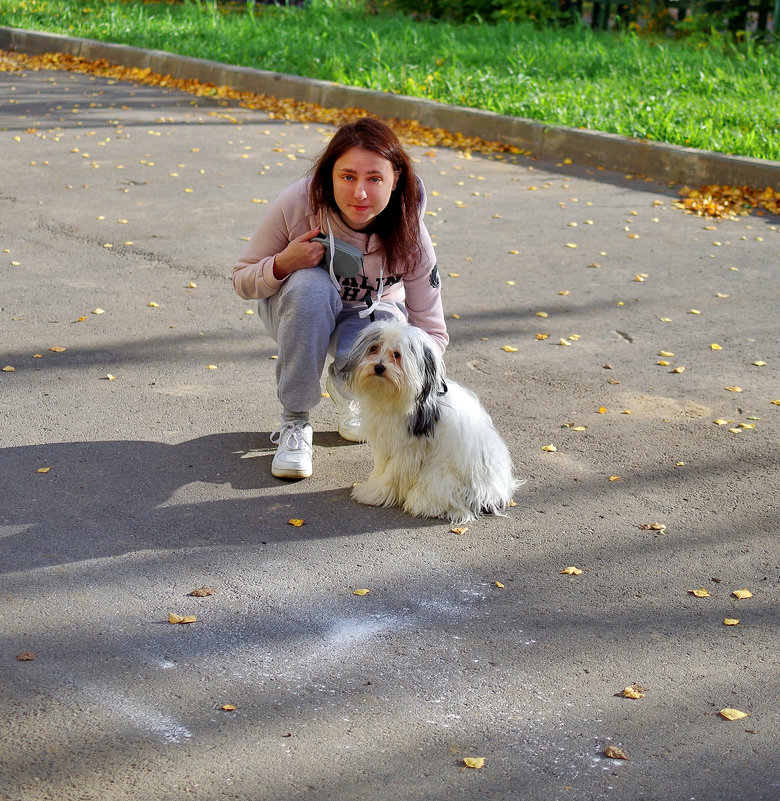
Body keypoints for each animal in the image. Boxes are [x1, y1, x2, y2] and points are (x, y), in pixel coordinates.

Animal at [338, 320, 520, 524]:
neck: (394, 396)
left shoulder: (407, 450)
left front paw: (375, 493)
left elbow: (392, 474)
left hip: (442, 473)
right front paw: (374, 486)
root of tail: (494, 496)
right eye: (374, 348)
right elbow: (382, 468)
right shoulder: (386, 445)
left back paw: (424, 503)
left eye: (397, 355)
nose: (379, 367)